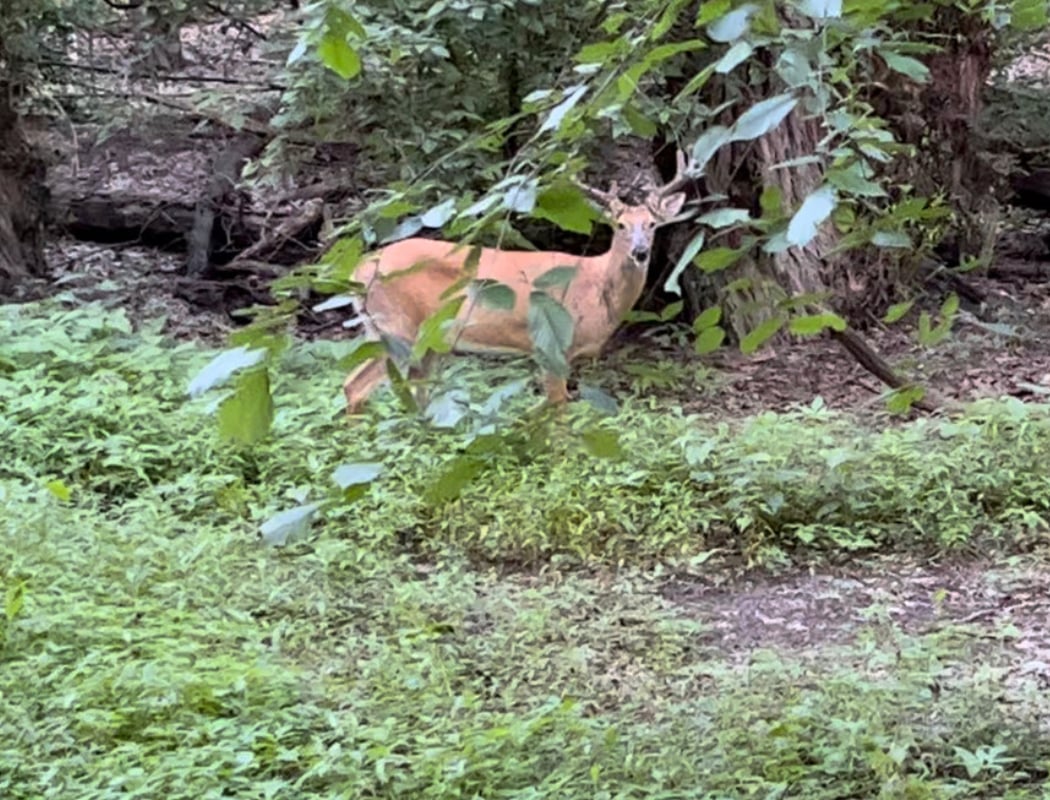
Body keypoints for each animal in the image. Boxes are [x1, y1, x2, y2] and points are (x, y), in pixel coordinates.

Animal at [342, 161, 691, 415]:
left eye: (652, 224)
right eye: (620, 225)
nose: (640, 252)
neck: (595, 286)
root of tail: (359, 269)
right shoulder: (550, 344)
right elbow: (558, 407)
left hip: (422, 337)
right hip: (396, 327)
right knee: (354, 385)